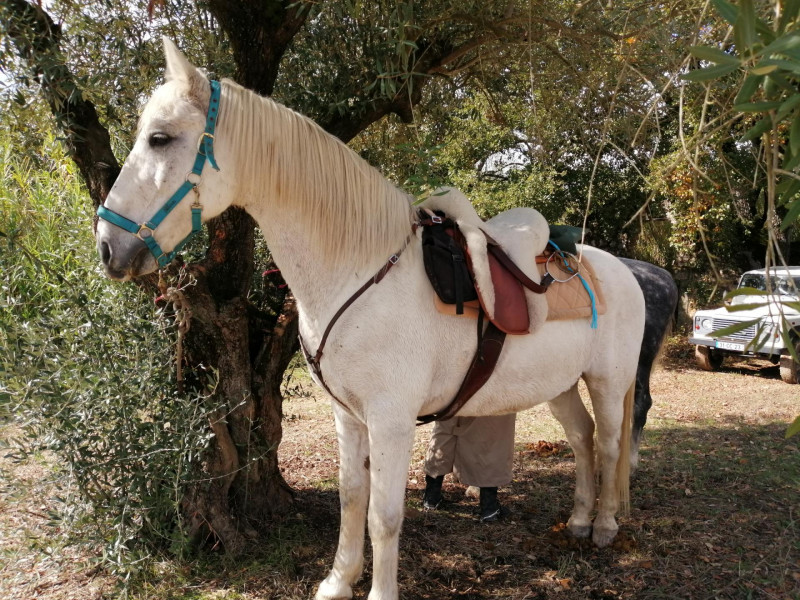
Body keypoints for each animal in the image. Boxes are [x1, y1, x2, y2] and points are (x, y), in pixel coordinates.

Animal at [95, 37, 644, 600]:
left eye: (160, 138)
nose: (108, 246)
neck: (360, 270)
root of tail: (623, 269)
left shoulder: (391, 421)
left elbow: (384, 515)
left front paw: (378, 589)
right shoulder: (349, 416)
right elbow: (352, 498)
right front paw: (340, 579)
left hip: (607, 381)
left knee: (607, 445)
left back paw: (603, 526)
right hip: (561, 385)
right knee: (581, 439)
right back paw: (578, 520)